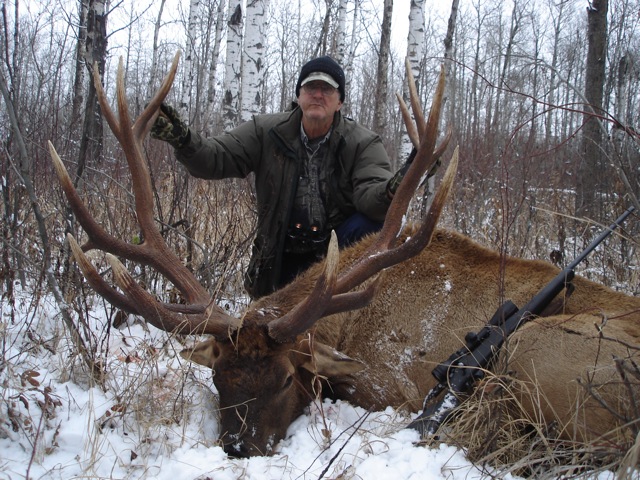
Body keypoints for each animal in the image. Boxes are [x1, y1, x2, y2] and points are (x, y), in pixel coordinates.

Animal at [49, 52, 640, 458]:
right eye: (218, 378)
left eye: (286, 379)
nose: (238, 448)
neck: (352, 326)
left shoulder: (389, 386)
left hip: (538, 352)